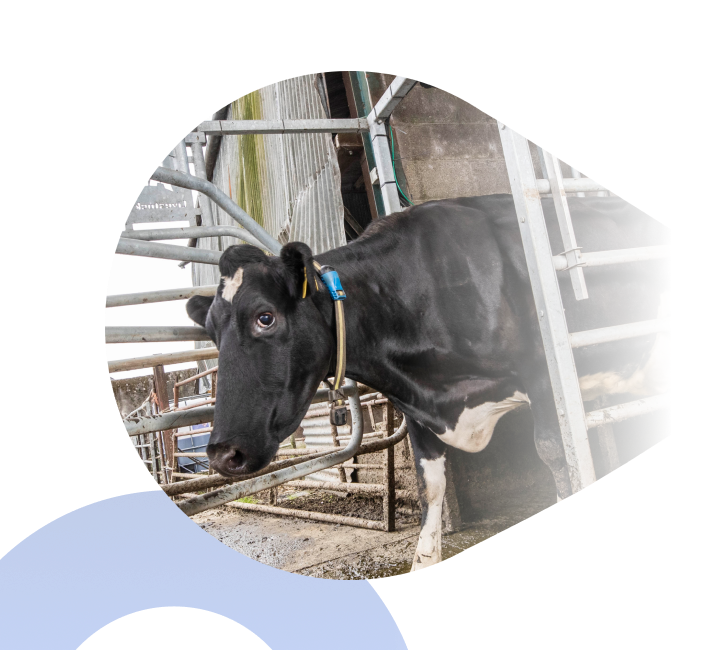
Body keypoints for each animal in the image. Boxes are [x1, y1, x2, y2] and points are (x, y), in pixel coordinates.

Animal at [186, 194, 670, 572]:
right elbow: (428, 487)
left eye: (265, 317)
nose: (222, 454)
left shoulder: (542, 374)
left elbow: (558, 456)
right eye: (210, 333)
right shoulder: (416, 409)